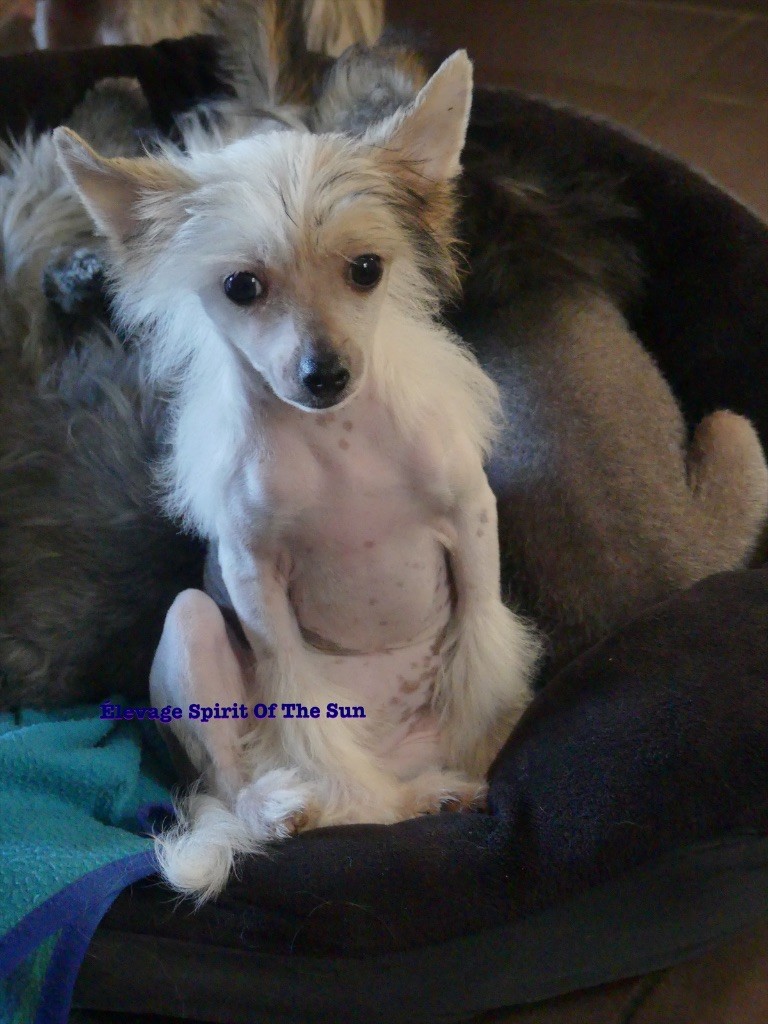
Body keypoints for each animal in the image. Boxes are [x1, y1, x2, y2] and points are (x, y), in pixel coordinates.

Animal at [55, 51, 542, 900]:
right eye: (241, 286)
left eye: (366, 270)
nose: (325, 372)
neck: (337, 446)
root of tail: (396, 769)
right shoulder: (254, 572)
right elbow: (295, 690)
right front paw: (318, 788)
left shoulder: (471, 516)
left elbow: (482, 638)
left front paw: (483, 742)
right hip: (190, 625)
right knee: (247, 787)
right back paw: (300, 808)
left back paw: (438, 790)